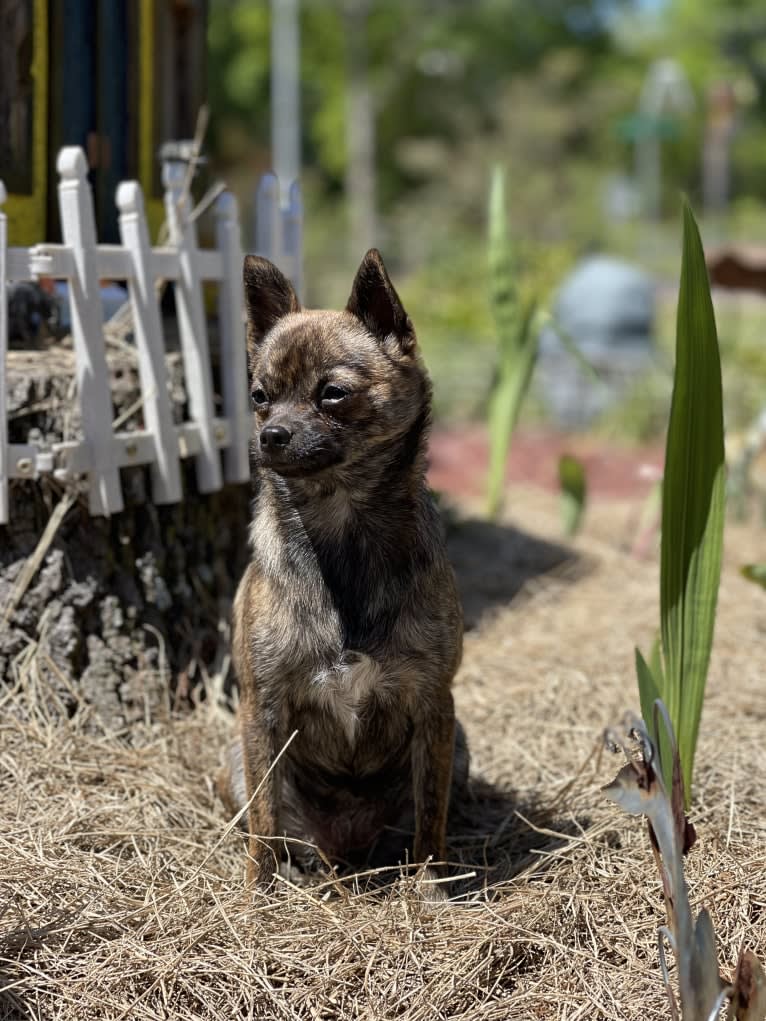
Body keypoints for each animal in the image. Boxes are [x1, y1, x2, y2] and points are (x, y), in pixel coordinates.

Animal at [217, 247, 467, 886]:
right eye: (259, 395)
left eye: (332, 393)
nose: (271, 435)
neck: (341, 533)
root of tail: (346, 850)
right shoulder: (262, 711)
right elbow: (264, 820)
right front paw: (257, 894)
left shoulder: (435, 704)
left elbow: (432, 816)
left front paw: (431, 888)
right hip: (237, 755)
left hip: (457, 742)